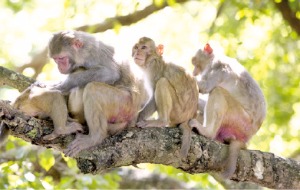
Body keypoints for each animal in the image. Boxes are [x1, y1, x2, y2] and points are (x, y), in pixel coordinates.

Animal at [189, 42, 266, 178]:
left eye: (196, 64)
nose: (194, 72)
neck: (214, 58)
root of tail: (248, 136)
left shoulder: (218, 68)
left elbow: (204, 87)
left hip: (239, 120)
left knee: (218, 92)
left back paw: (207, 132)